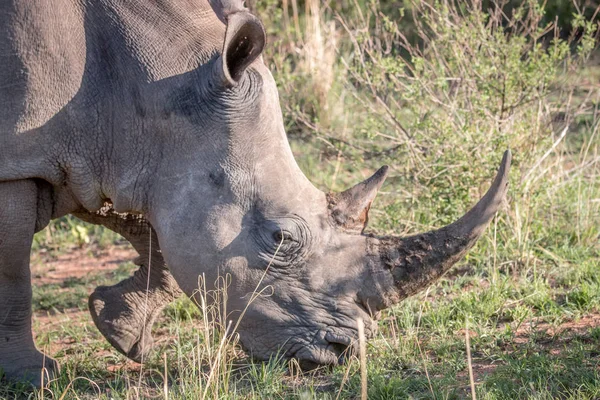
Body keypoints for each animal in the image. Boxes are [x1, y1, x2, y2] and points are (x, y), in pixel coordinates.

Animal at [0, 0, 510, 384]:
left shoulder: (121, 155)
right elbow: (14, 275)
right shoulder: (21, 161)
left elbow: (159, 237)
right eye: (280, 238)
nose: (341, 351)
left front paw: (121, 331)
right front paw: (34, 377)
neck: (148, 88)